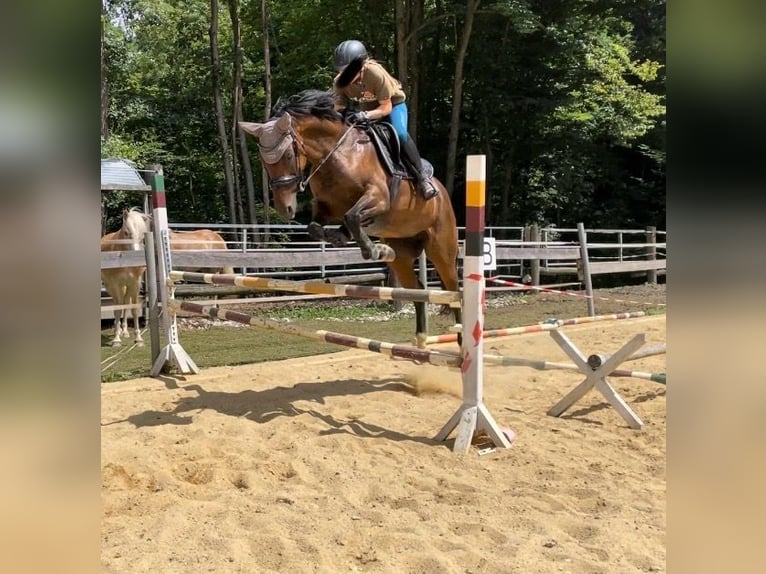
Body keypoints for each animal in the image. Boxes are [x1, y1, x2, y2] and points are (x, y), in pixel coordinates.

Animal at [100, 209, 152, 348]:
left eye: (142, 236)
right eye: (126, 233)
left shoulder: (135, 284)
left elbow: (133, 309)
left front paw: (138, 339)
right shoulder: (115, 284)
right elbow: (117, 309)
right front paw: (116, 340)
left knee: (125, 303)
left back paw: (124, 331)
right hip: (111, 286)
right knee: (118, 303)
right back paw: (117, 330)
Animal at [240, 88, 462, 348]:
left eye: (286, 155)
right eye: (264, 161)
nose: (285, 209)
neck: (338, 153)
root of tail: (443, 193)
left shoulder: (378, 198)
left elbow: (353, 215)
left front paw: (372, 249)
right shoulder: (325, 207)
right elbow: (318, 226)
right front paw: (354, 241)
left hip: (441, 247)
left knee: (454, 291)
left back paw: (460, 339)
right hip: (403, 255)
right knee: (417, 290)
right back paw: (420, 338)